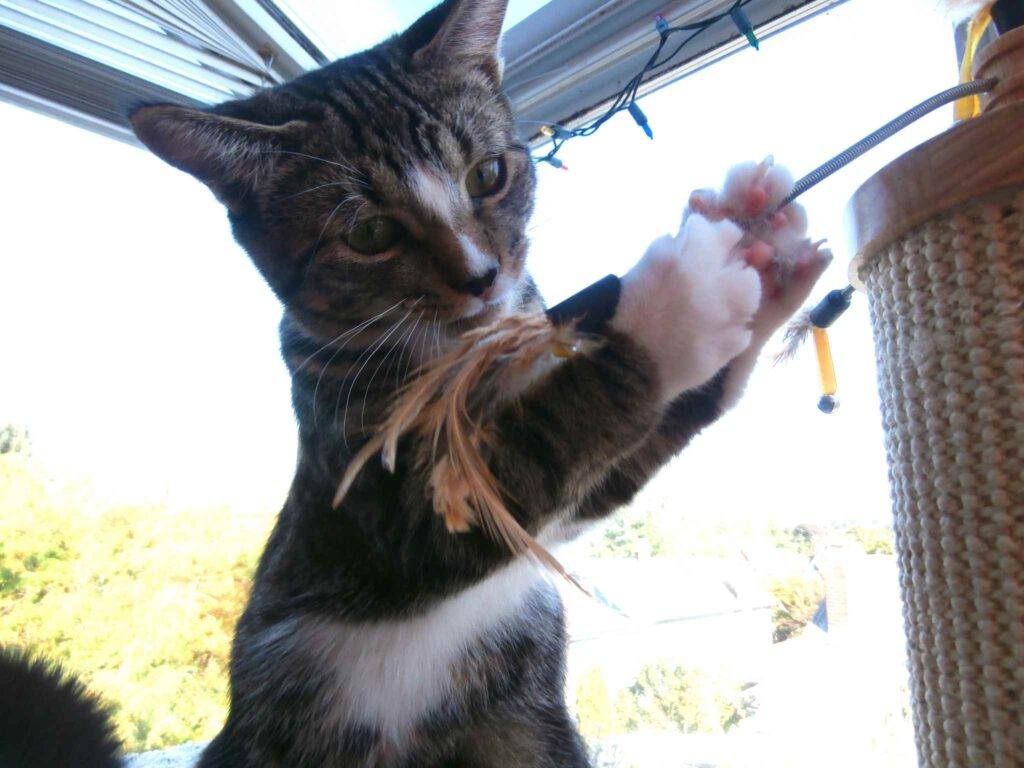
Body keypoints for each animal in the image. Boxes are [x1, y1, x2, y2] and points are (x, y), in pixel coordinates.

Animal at [2, 0, 823, 765]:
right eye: (368, 234)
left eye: (488, 174)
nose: (480, 276)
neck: (463, 353)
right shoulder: (370, 512)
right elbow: (535, 451)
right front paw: (686, 293)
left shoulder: (558, 495)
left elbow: (599, 480)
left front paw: (758, 241)